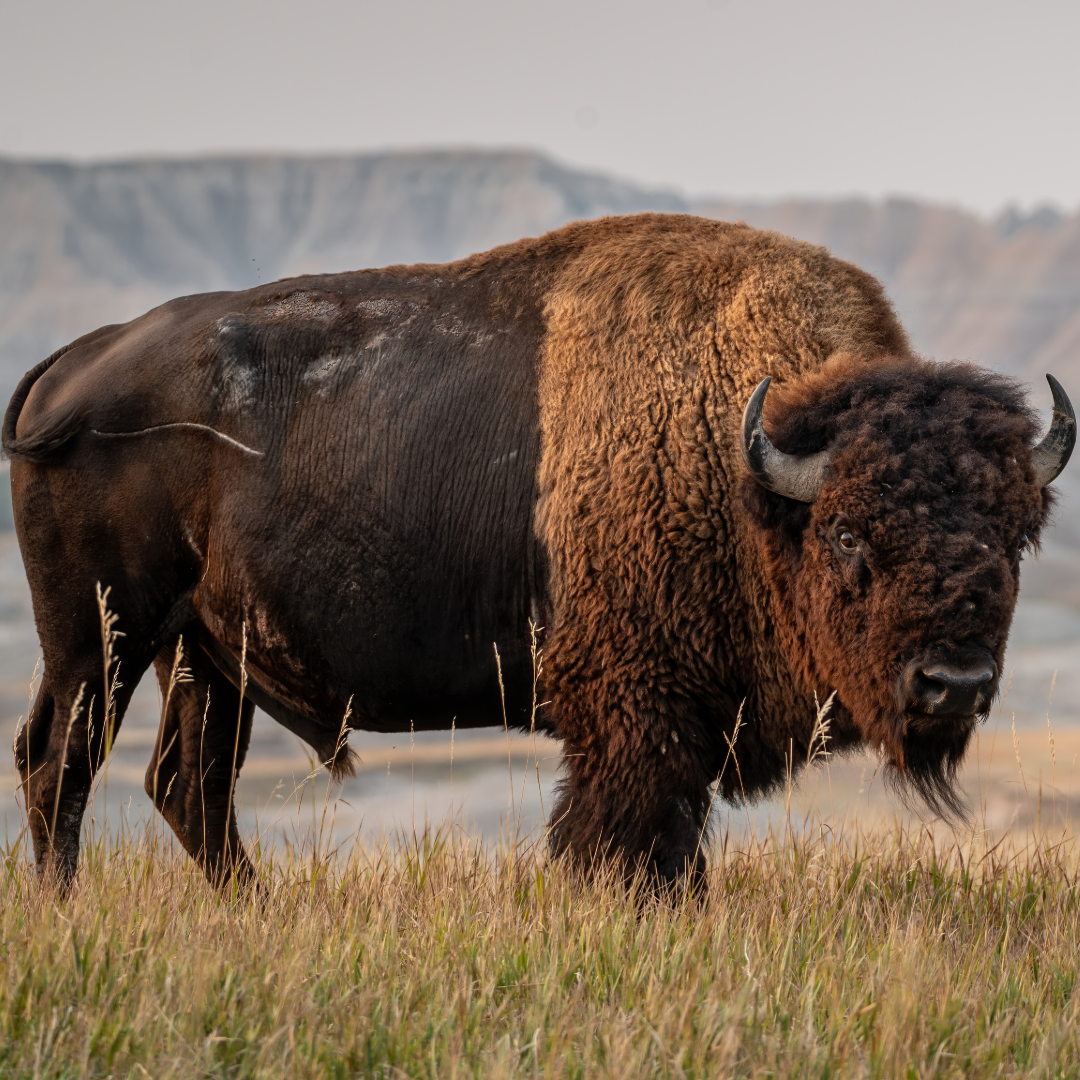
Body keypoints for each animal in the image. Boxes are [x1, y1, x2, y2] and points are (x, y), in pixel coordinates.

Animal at [3, 213, 1074, 889]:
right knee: (62, 761)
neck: (744, 465)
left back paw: (256, 915)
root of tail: (74, 362)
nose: (954, 683)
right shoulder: (638, 723)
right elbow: (631, 845)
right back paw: (67, 913)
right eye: (848, 533)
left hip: (203, 653)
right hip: (100, 636)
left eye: (1015, 535)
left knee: (188, 786)